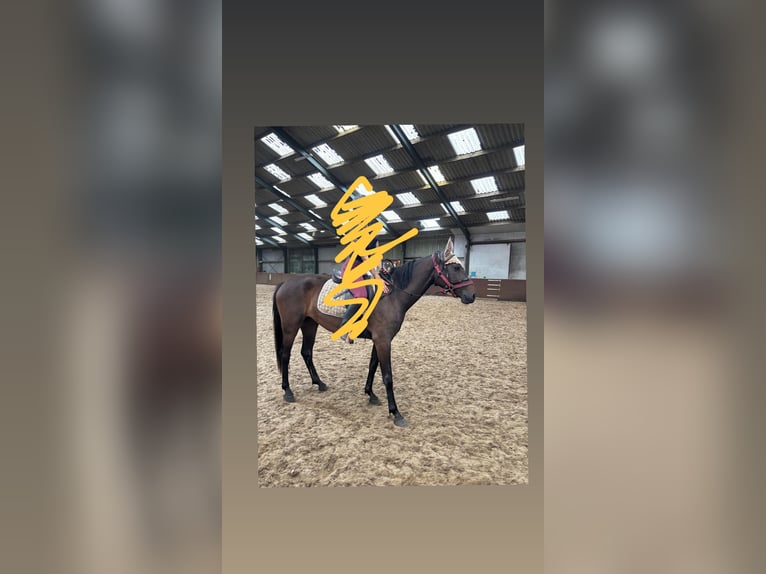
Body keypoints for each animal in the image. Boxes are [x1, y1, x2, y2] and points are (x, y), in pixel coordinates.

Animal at [271, 235, 475, 427]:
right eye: (456, 268)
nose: (471, 295)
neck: (394, 295)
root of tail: (285, 283)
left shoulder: (381, 340)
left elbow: (372, 366)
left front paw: (370, 394)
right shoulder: (383, 340)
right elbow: (387, 376)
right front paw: (396, 413)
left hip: (309, 324)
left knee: (306, 352)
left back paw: (319, 383)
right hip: (290, 326)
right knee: (285, 354)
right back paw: (288, 391)